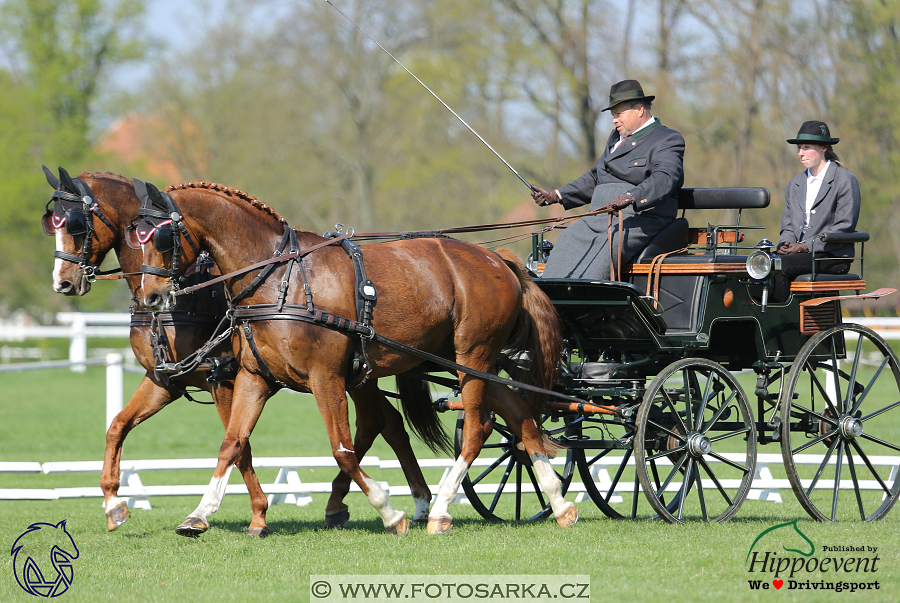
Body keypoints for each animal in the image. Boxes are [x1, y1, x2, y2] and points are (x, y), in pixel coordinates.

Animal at [138, 182, 580, 536]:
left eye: (160, 238)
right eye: (134, 236)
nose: (150, 297)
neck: (280, 280)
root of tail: (497, 259)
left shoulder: (326, 378)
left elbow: (343, 450)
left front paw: (389, 512)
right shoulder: (254, 377)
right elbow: (231, 443)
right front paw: (199, 514)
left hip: (474, 354)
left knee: (477, 428)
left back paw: (440, 509)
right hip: (466, 363)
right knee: (519, 416)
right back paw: (559, 503)